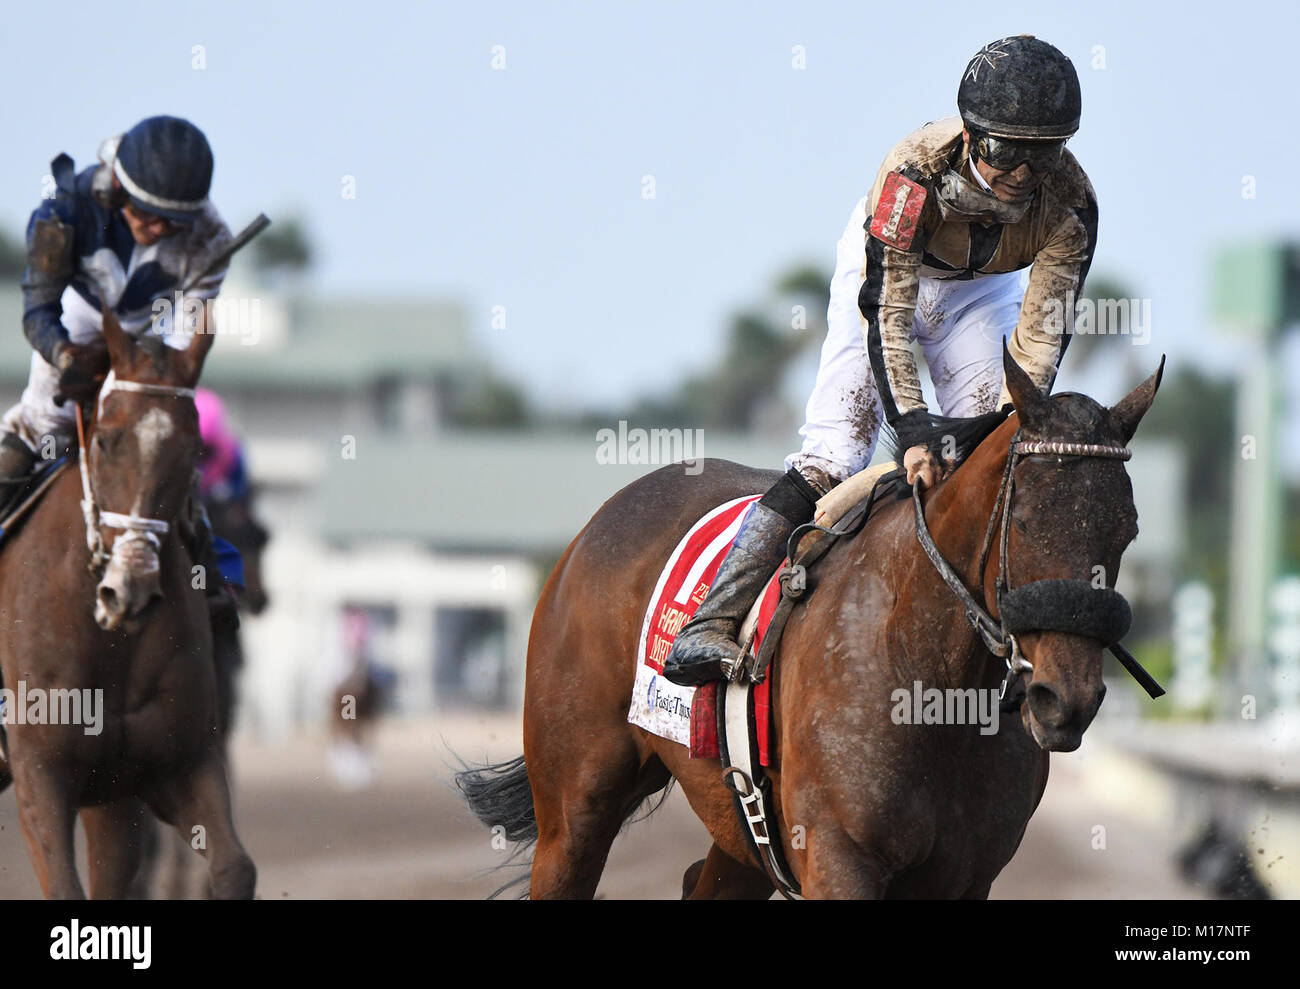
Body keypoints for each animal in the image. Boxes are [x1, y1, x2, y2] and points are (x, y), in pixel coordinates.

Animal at [0, 306, 258, 894]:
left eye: (193, 449)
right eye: (106, 440)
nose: (130, 586)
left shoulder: (172, 762)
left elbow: (234, 867)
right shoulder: (38, 770)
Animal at [460, 350, 1170, 899]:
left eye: (1127, 531)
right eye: (1022, 521)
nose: (1066, 700)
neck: (930, 673)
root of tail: (596, 526)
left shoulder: (964, 878)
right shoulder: (839, 861)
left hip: (739, 824)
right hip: (573, 811)